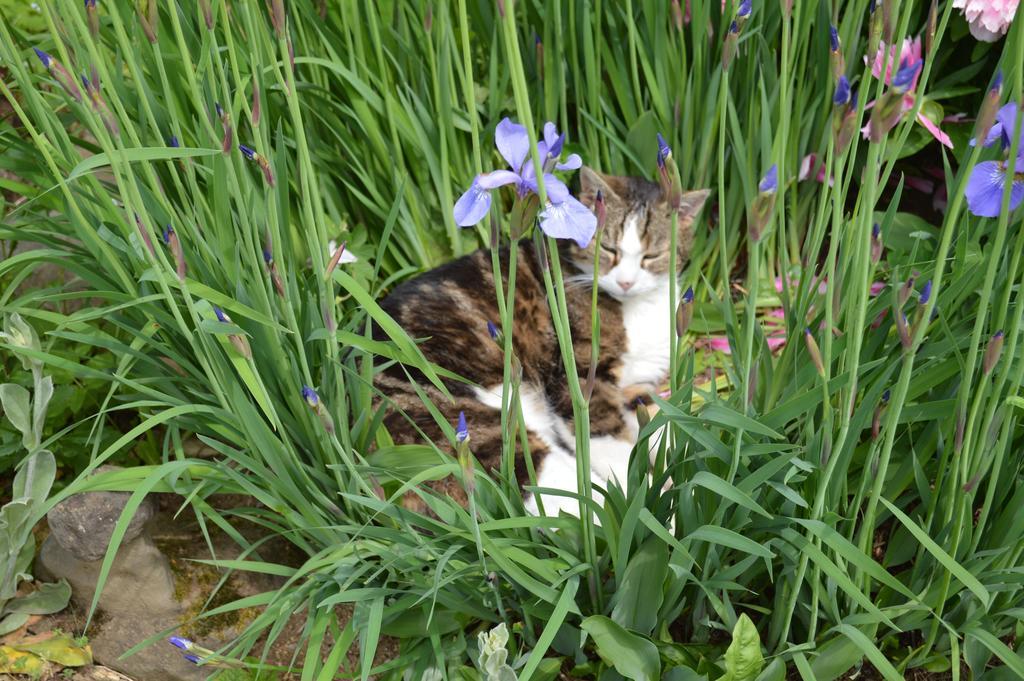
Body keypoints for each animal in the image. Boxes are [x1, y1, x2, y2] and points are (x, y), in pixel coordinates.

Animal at [372, 168, 708, 516]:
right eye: (608, 249)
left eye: (651, 256)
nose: (625, 282)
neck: (637, 307)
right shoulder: (579, 382)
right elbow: (616, 451)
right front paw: (651, 491)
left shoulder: (636, 388)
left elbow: (667, 421)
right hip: (469, 427)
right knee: (563, 493)